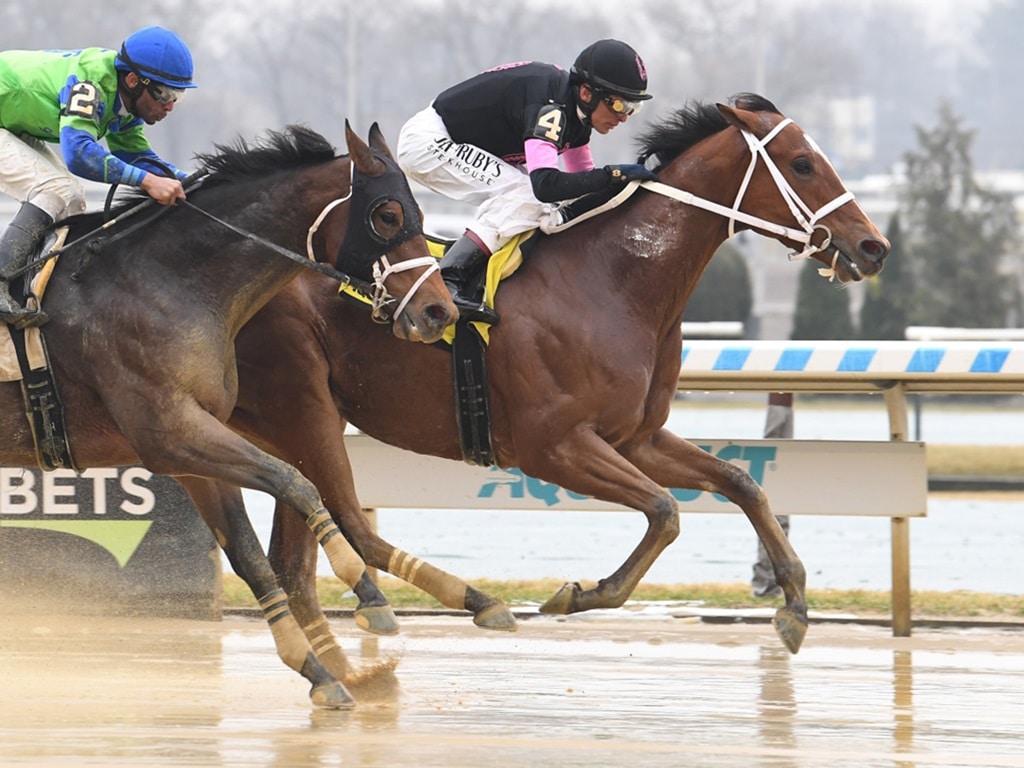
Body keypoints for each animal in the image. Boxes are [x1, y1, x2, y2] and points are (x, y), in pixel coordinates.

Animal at [0, 121, 456, 708]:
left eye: (418, 210)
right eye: (388, 215)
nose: (439, 311)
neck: (165, 280)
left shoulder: (195, 445)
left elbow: (250, 553)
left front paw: (319, 672)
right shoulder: (170, 432)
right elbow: (296, 482)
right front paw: (368, 594)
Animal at [228, 91, 884, 667]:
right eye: (802, 163)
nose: (873, 246)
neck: (613, 279)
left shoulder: (634, 438)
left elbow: (741, 483)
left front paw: (794, 606)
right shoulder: (553, 447)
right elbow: (665, 510)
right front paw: (579, 594)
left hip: (301, 421)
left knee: (296, 553)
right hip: (305, 406)